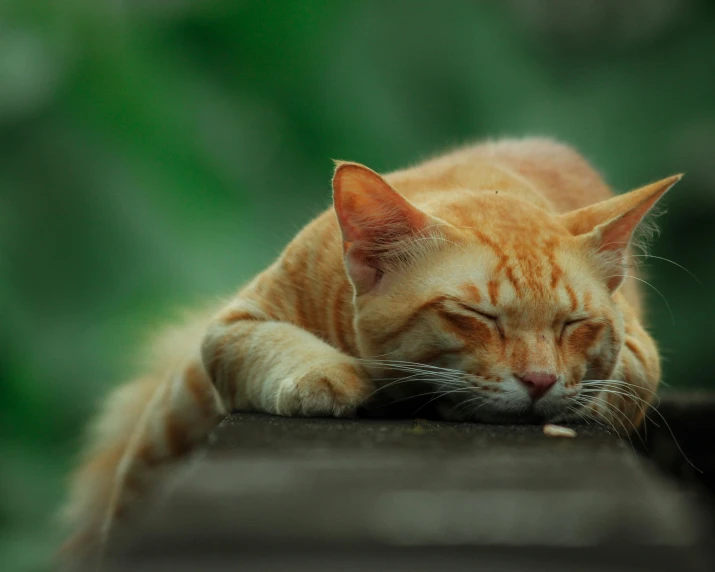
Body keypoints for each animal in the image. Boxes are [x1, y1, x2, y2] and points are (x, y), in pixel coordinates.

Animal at [58, 139, 680, 568]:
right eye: (477, 316)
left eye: (574, 325)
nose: (540, 380)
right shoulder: (234, 325)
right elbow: (276, 342)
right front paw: (331, 376)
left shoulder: (638, 359)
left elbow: (602, 387)